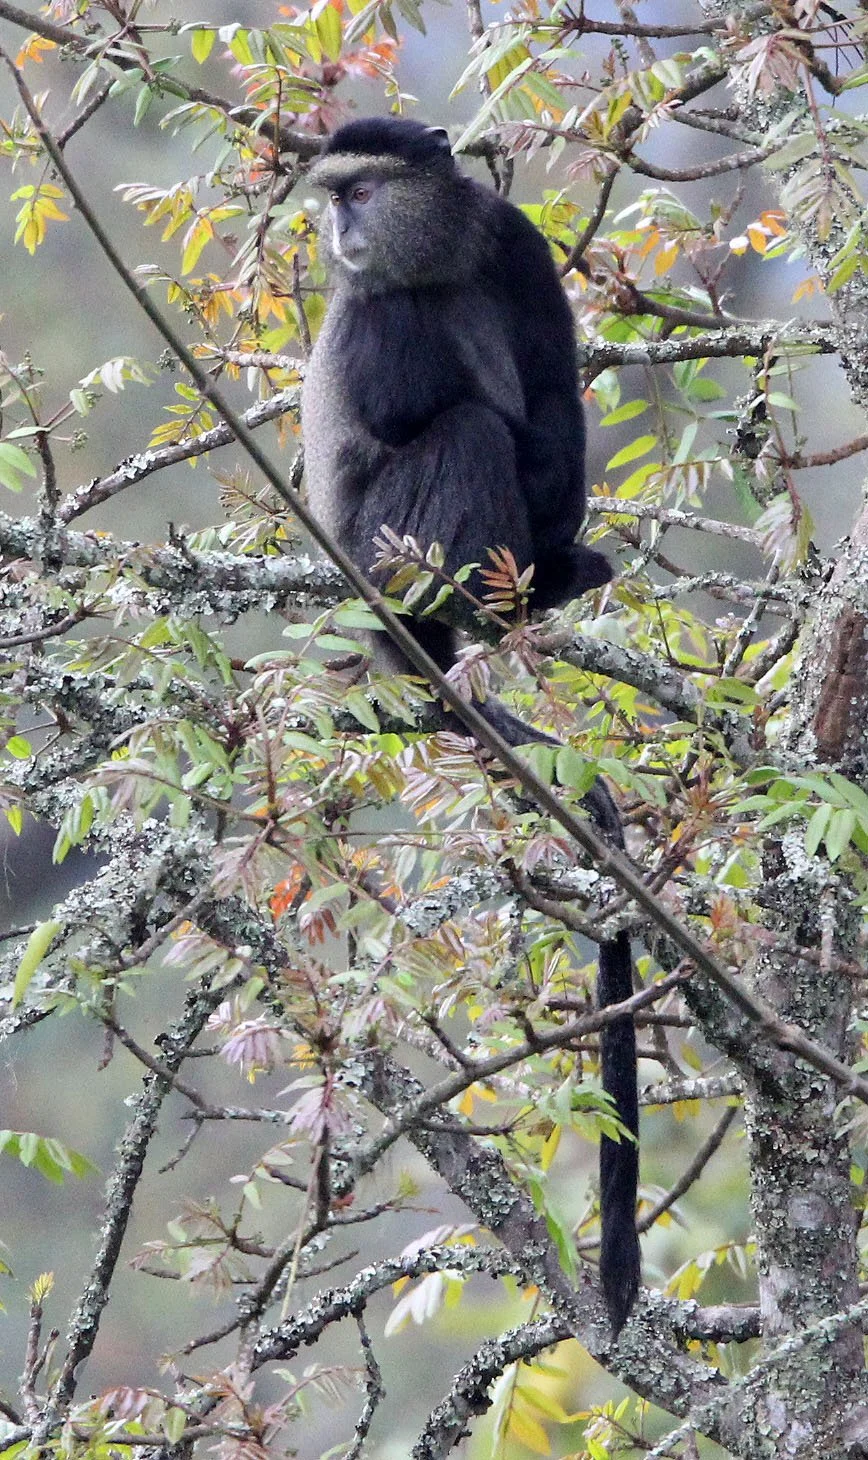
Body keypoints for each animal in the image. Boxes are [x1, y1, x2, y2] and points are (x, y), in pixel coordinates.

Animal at [301, 115, 640, 1335]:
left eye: (361, 190)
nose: (340, 232)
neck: (432, 263)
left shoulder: (514, 245)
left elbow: (553, 398)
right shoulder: (375, 313)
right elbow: (432, 415)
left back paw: (549, 581)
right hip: (386, 553)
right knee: (459, 432)